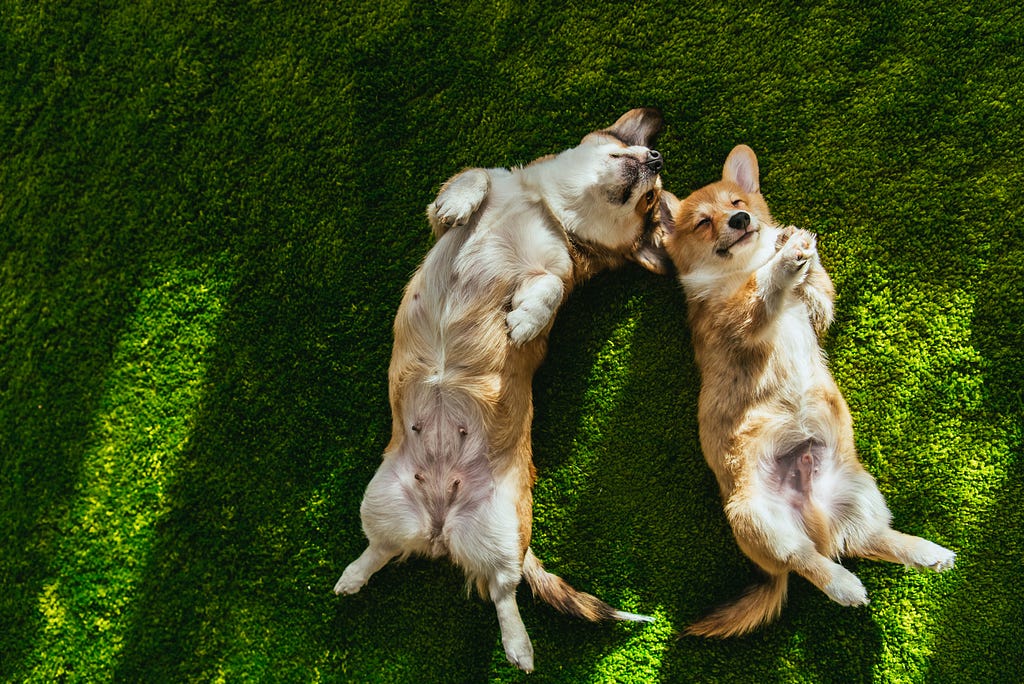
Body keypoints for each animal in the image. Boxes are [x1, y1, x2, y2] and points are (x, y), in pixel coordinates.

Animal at [337, 109, 671, 671]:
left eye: (651, 201)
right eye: (630, 154)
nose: (657, 157)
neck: (550, 209)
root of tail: (439, 528)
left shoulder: (556, 270)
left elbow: (549, 288)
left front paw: (526, 320)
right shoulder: (455, 209)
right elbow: (475, 175)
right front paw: (459, 203)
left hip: (501, 529)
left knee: (502, 589)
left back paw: (519, 646)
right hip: (380, 501)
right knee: (382, 550)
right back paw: (352, 575)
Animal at [659, 145, 954, 643]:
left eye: (739, 203)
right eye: (703, 222)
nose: (740, 221)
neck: (740, 268)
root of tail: (812, 519)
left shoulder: (816, 313)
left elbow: (817, 290)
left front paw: (795, 243)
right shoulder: (738, 320)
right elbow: (763, 291)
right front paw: (783, 262)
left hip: (860, 492)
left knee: (867, 541)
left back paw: (925, 552)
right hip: (759, 521)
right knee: (808, 563)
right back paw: (845, 586)